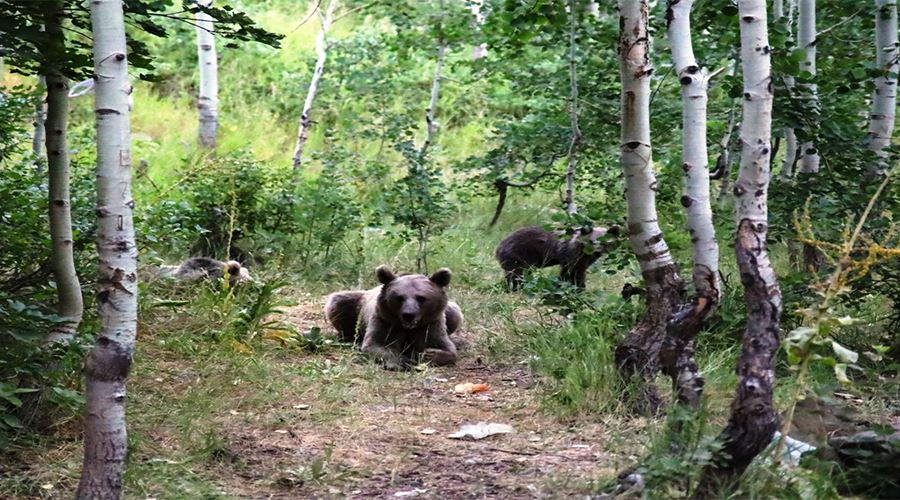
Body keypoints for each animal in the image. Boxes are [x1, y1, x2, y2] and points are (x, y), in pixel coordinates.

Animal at [324, 266, 460, 372]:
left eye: (421, 298)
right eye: (400, 297)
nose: (408, 314)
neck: (408, 328)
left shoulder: (430, 325)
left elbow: (447, 348)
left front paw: (429, 354)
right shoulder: (386, 321)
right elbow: (376, 345)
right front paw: (402, 361)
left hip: (450, 311)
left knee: (456, 314)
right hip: (356, 306)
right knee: (339, 303)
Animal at [492, 226, 620, 292]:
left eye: (605, 242)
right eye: (592, 241)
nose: (597, 251)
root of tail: (499, 247)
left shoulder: (584, 260)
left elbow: (580, 271)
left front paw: (580, 287)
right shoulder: (569, 254)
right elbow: (569, 272)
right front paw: (573, 286)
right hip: (518, 256)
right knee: (517, 275)